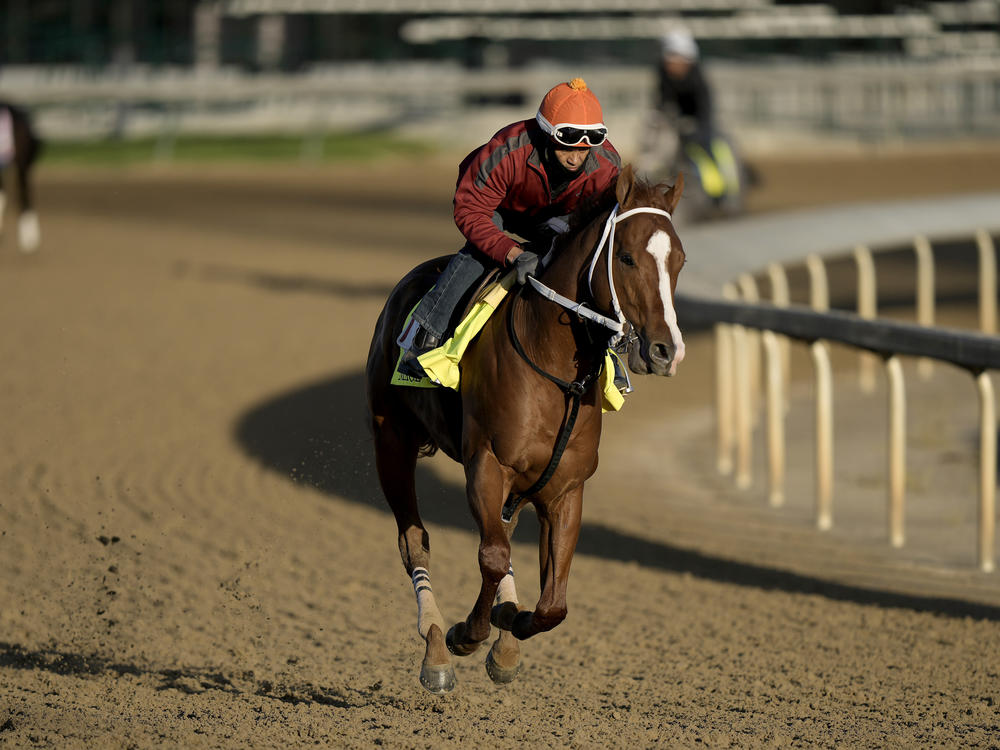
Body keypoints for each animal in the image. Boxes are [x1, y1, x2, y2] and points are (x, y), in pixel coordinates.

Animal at [368, 167, 688, 696]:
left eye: (679, 260)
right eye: (625, 257)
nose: (666, 350)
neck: (555, 369)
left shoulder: (565, 487)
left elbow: (552, 602)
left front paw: (510, 628)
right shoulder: (486, 464)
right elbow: (493, 557)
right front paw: (467, 634)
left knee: (501, 535)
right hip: (390, 440)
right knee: (415, 540)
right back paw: (436, 646)